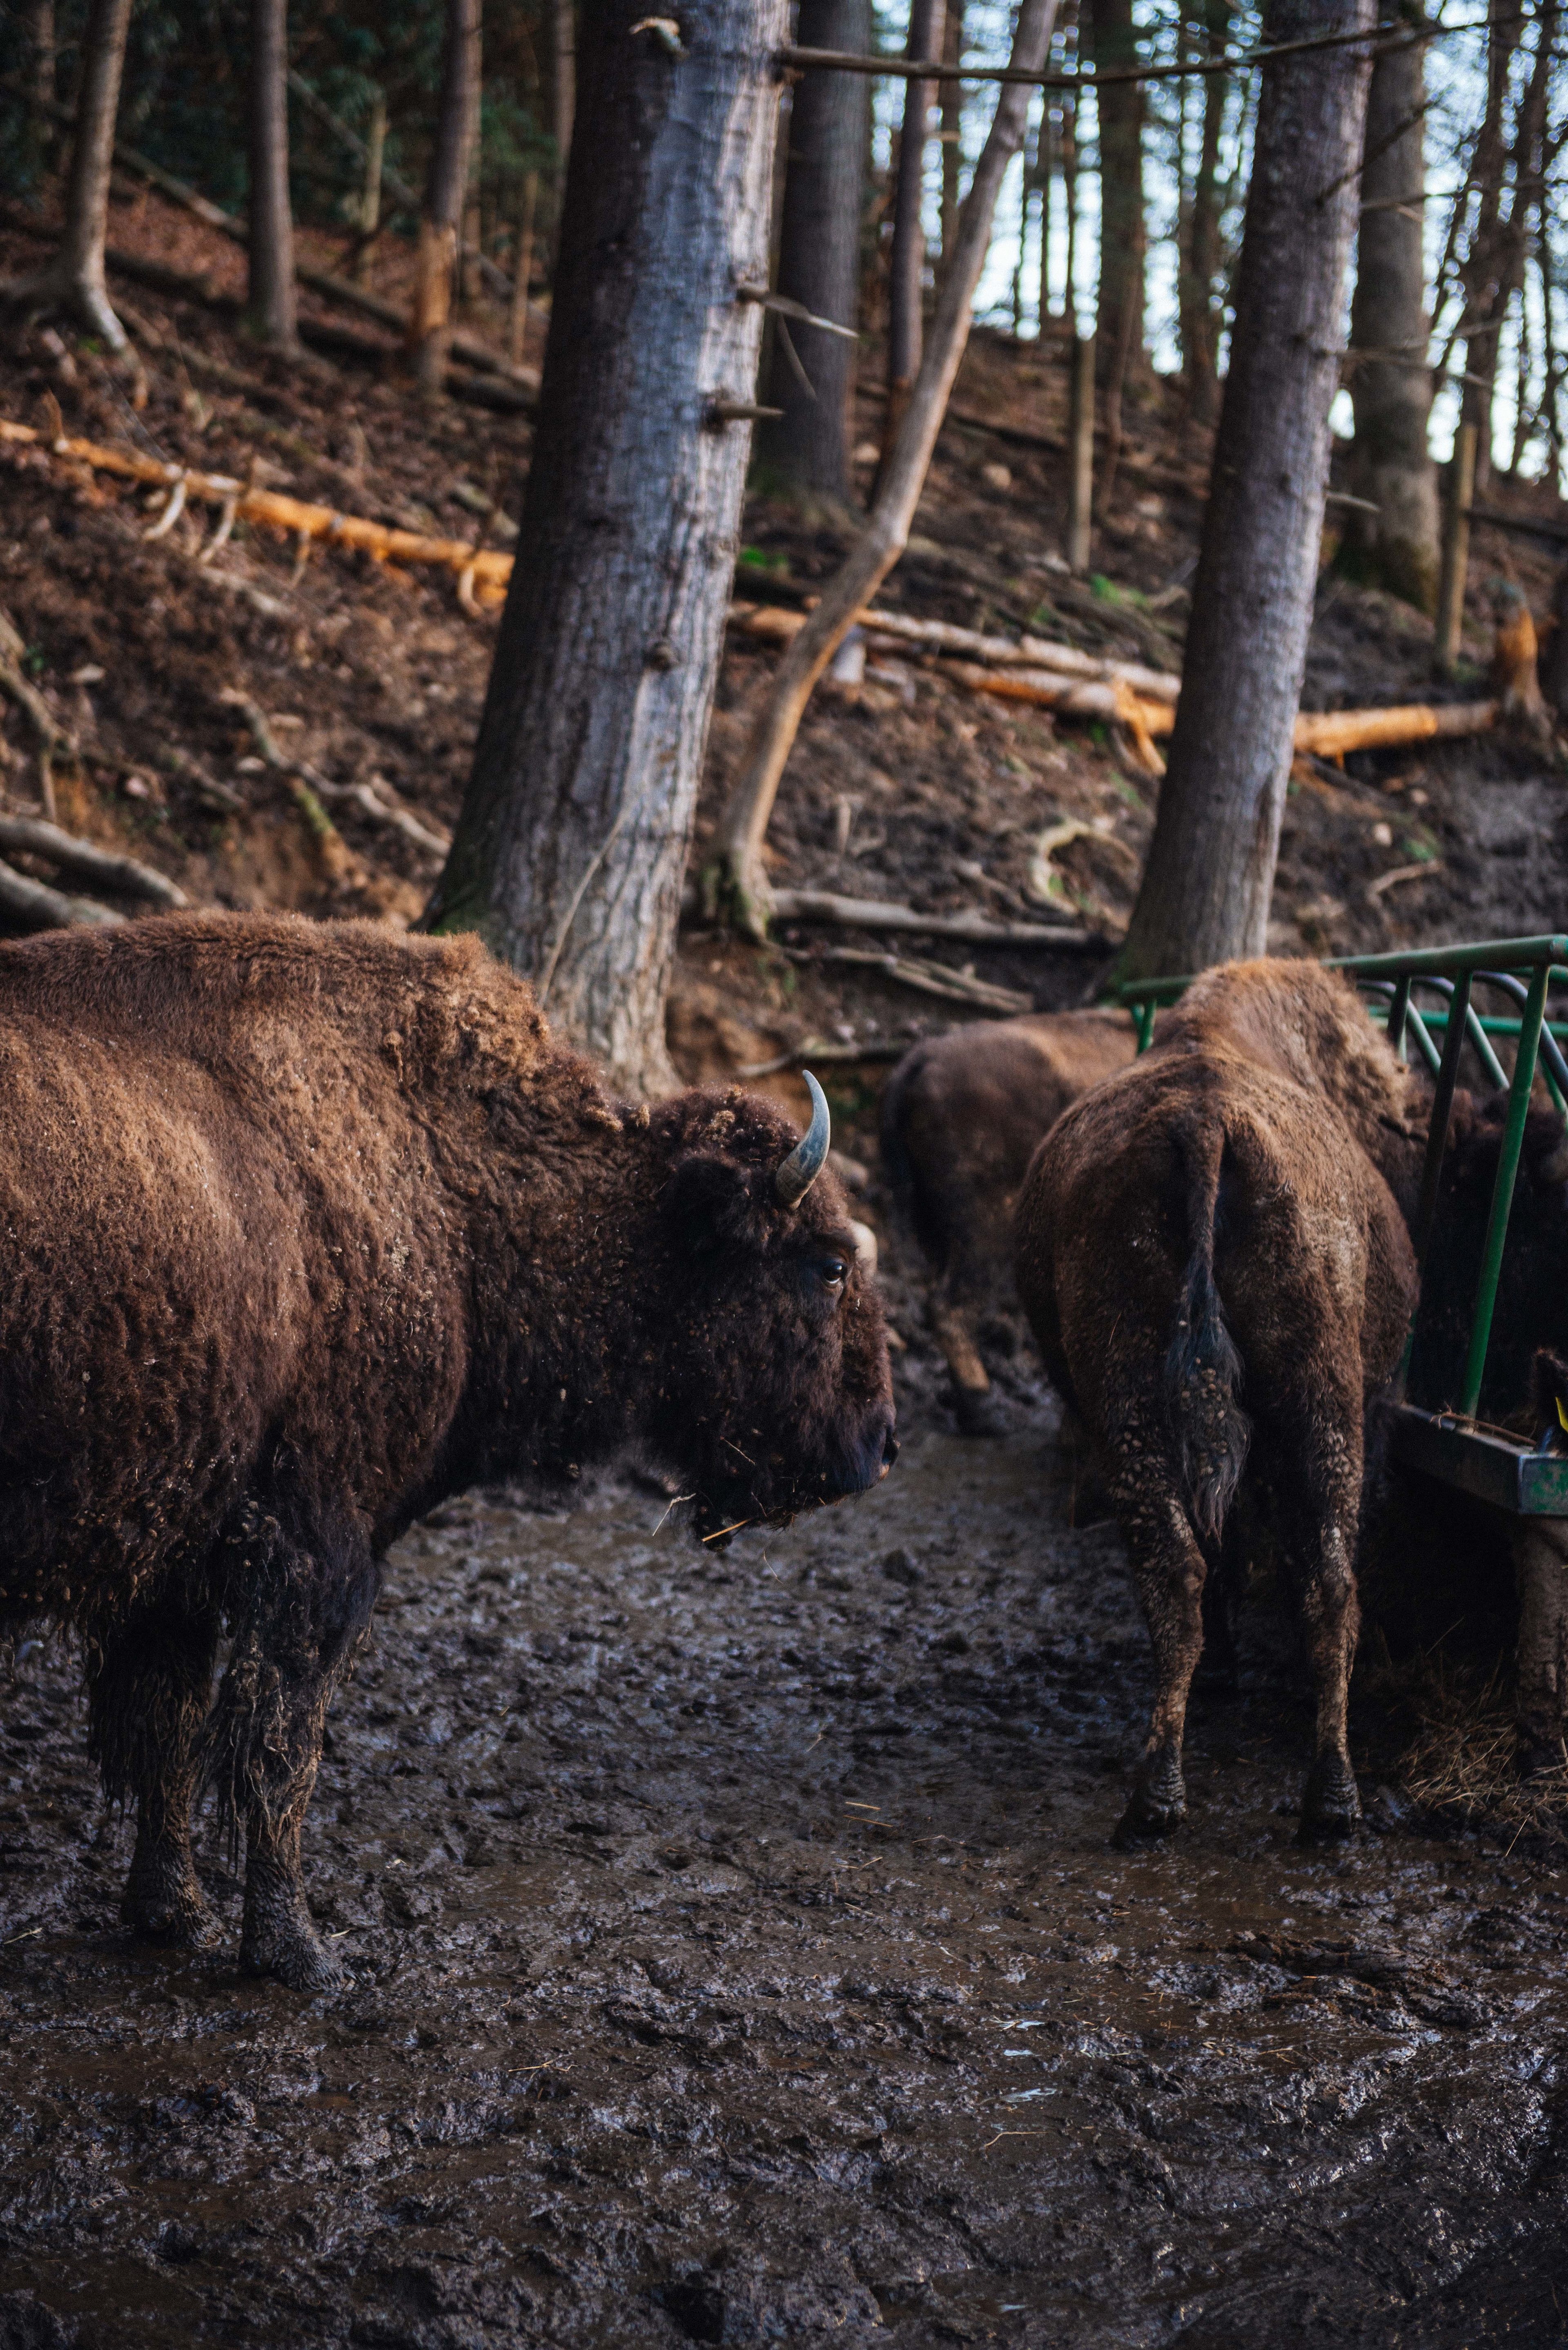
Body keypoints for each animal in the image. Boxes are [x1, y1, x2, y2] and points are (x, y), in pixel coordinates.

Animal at [0, 914, 896, 1988]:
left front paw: (170, 1913)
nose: (879, 1448)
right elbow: (278, 1745)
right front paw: (301, 1955)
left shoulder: (176, 1558)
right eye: (829, 1266)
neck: (448, 1190)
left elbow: (168, 1732)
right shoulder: (312, 1548)